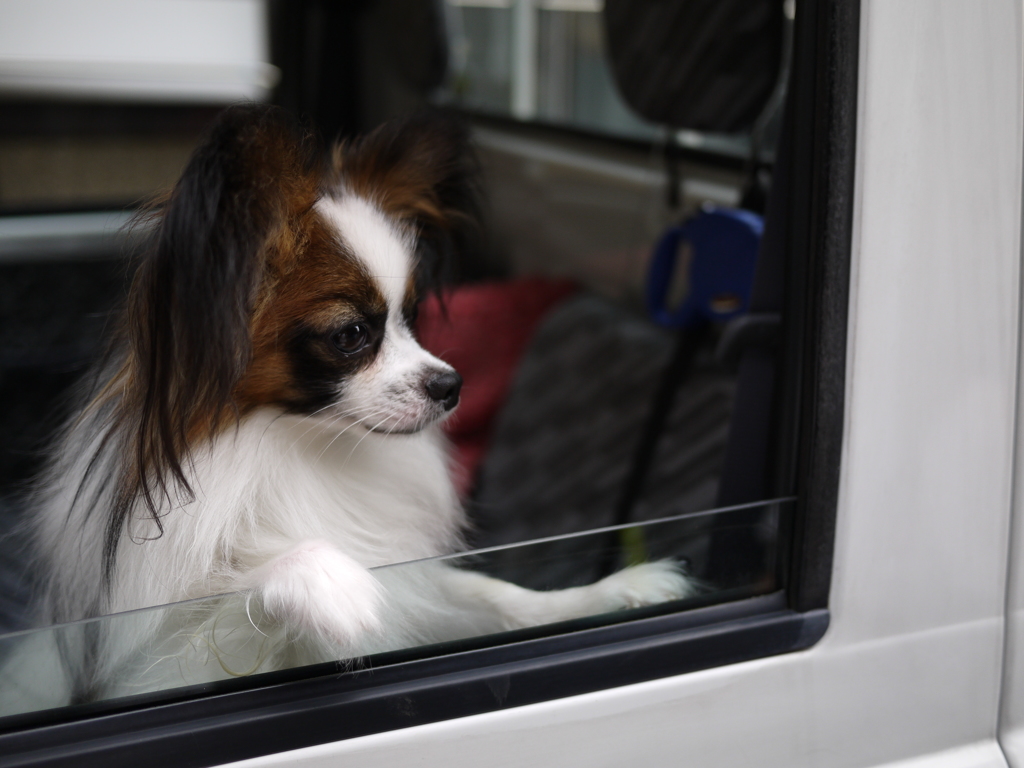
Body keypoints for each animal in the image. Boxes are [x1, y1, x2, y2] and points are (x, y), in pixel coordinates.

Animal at [25, 103, 696, 704]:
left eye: (413, 317)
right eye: (351, 335)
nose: (451, 385)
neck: (298, 448)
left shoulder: (420, 581)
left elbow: (493, 594)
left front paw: (612, 593)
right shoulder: (159, 671)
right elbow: (241, 600)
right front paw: (330, 582)